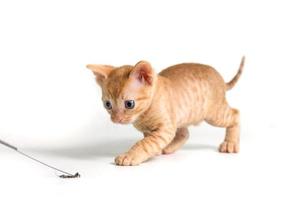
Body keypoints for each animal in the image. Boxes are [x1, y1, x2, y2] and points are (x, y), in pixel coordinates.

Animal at [86, 57, 244, 166]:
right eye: (107, 104)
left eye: (129, 104)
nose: (116, 119)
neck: (142, 116)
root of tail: (221, 79)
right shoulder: (154, 130)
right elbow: (149, 142)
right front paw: (153, 151)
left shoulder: (164, 129)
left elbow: (144, 144)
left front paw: (129, 156)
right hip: (182, 116)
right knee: (184, 133)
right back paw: (168, 148)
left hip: (214, 113)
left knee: (236, 114)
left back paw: (230, 144)